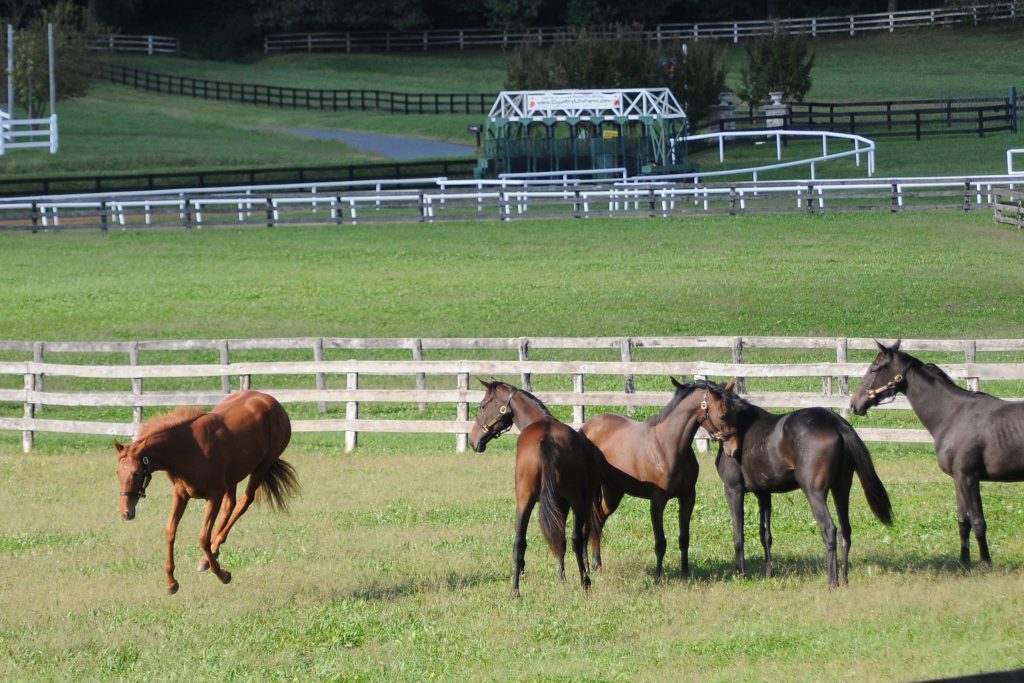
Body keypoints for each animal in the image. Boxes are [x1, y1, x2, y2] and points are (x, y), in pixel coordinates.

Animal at [115, 389, 296, 593]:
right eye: (118, 473)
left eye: (136, 473)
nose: (125, 512)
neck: (190, 449)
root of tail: (271, 400)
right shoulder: (181, 494)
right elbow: (170, 532)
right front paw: (171, 582)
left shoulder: (214, 496)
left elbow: (203, 538)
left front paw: (223, 575)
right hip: (232, 478)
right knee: (230, 505)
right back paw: (213, 552)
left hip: (260, 468)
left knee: (244, 502)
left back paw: (209, 556)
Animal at [468, 378, 602, 598]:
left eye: (482, 406)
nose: (473, 440)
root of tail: (545, 440)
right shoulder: (565, 503)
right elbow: (564, 540)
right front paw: (563, 577)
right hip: (572, 501)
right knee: (575, 538)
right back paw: (585, 581)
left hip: (526, 501)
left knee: (520, 542)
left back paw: (515, 590)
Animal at [581, 378, 741, 581]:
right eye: (722, 415)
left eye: (735, 412)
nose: (734, 449)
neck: (667, 447)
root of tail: (586, 428)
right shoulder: (657, 501)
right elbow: (660, 542)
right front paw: (658, 577)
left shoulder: (688, 497)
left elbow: (684, 538)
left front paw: (685, 572)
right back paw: (586, 564)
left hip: (613, 492)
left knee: (598, 520)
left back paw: (596, 563)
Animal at [716, 378, 892, 589]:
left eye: (723, 414)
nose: (731, 449)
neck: (744, 426)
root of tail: (836, 423)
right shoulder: (764, 493)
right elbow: (765, 534)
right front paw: (769, 573)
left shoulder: (733, 490)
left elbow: (738, 535)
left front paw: (740, 574)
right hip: (841, 489)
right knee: (845, 531)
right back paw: (844, 580)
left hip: (814, 493)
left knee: (829, 530)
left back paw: (832, 582)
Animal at [847, 339, 1024, 569]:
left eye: (874, 368)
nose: (854, 403)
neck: (952, 414)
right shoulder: (959, 479)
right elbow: (963, 520)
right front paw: (964, 562)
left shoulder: (969, 477)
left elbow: (978, 521)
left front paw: (985, 563)